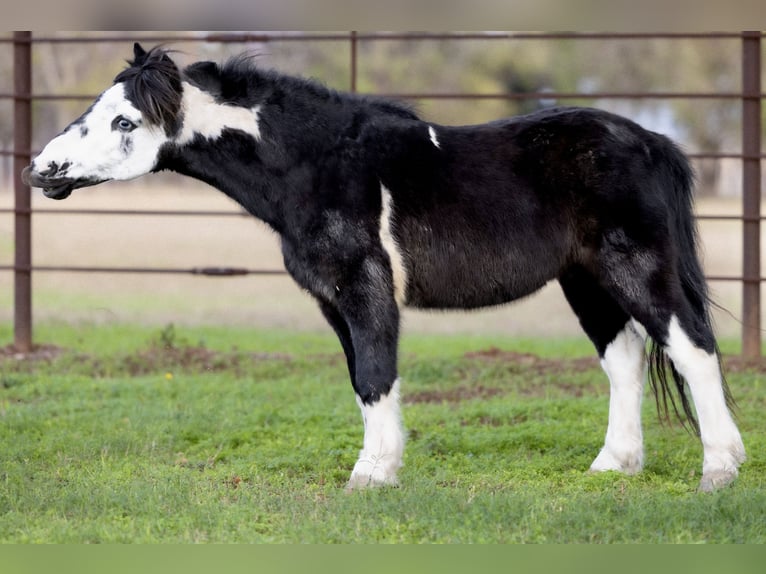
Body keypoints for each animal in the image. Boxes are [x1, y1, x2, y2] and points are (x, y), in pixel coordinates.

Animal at [23, 43, 745, 492]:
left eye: (124, 120)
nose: (41, 169)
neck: (321, 164)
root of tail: (649, 140)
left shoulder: (364, 288)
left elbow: (374, 375)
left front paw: (370, 476)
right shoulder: (331, 300)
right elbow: (362, 380)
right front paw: (383, 467)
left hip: (635, 268)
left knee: (692, 347)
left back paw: (719, 471)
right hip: (586, 281)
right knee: (624, 360)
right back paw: (613, 467)